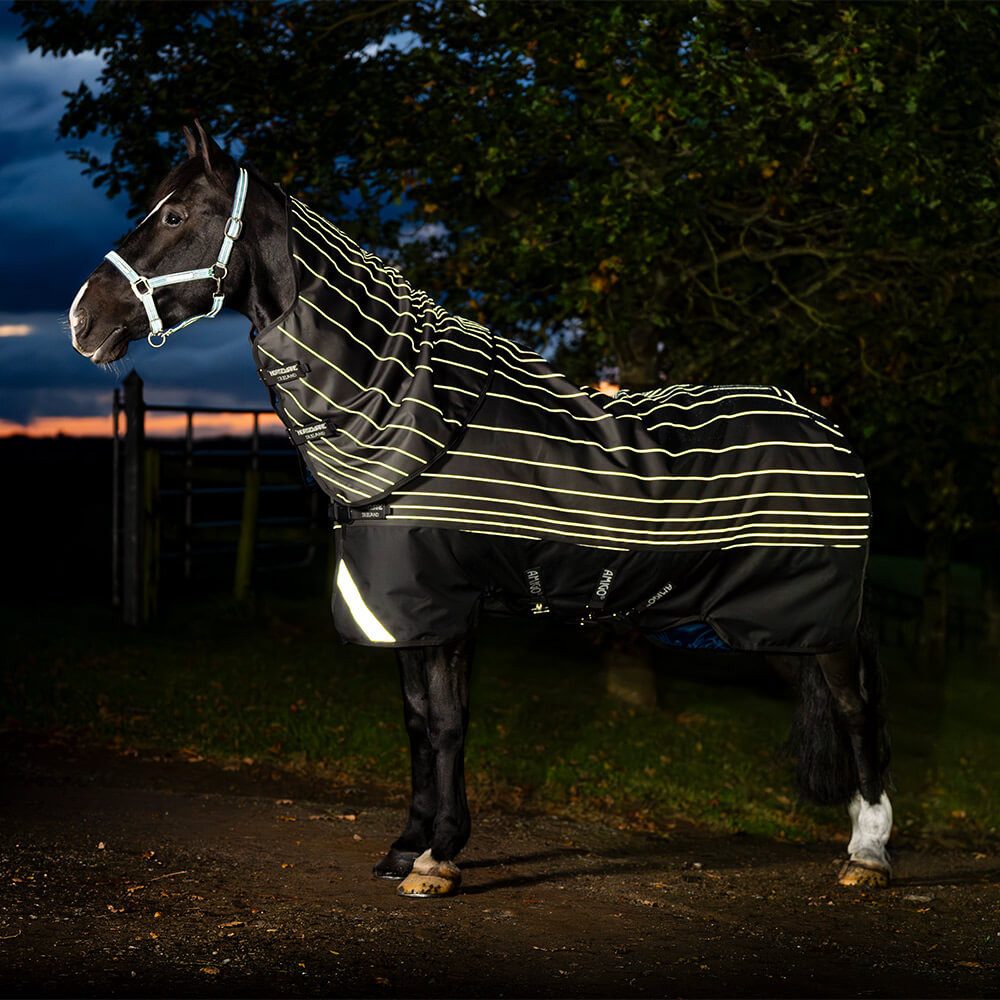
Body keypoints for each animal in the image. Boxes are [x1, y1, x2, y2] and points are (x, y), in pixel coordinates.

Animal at [69, 123, 892, 898]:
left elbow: (447, 724)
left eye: (175, 214)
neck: (403, 410)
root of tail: (826, 429)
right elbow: (415, 723)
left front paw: (439, 857)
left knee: (856, 711)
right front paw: (406, 846)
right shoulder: (398, 605)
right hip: (784, 628)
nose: (83, 320)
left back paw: (870, 855)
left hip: (809, 623)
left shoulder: (446, 604)